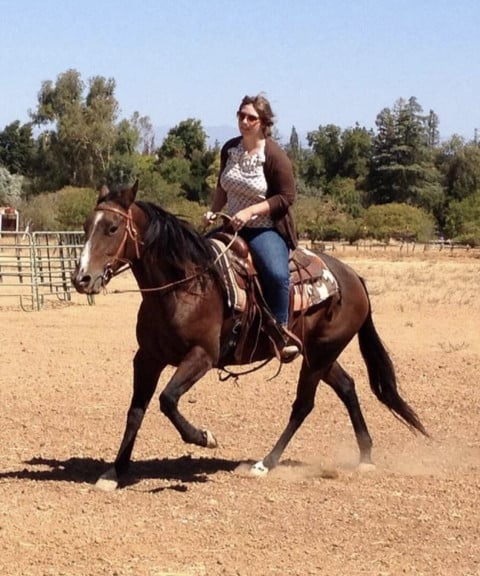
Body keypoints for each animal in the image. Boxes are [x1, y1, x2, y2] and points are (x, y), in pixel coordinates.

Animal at [72, 182, 428, 488]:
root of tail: (352, 276)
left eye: (112, 228)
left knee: (303, 405)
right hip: (319, 354)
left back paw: (265, 463)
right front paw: (115, 471)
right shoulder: (146, 358)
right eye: (87, 226)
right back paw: (365, 455)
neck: (185, 285)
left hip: (321, 355)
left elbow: (167, 399)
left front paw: (204, 438)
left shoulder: (202, 356)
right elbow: (136, 411)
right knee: (347, 387)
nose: (82, 278)